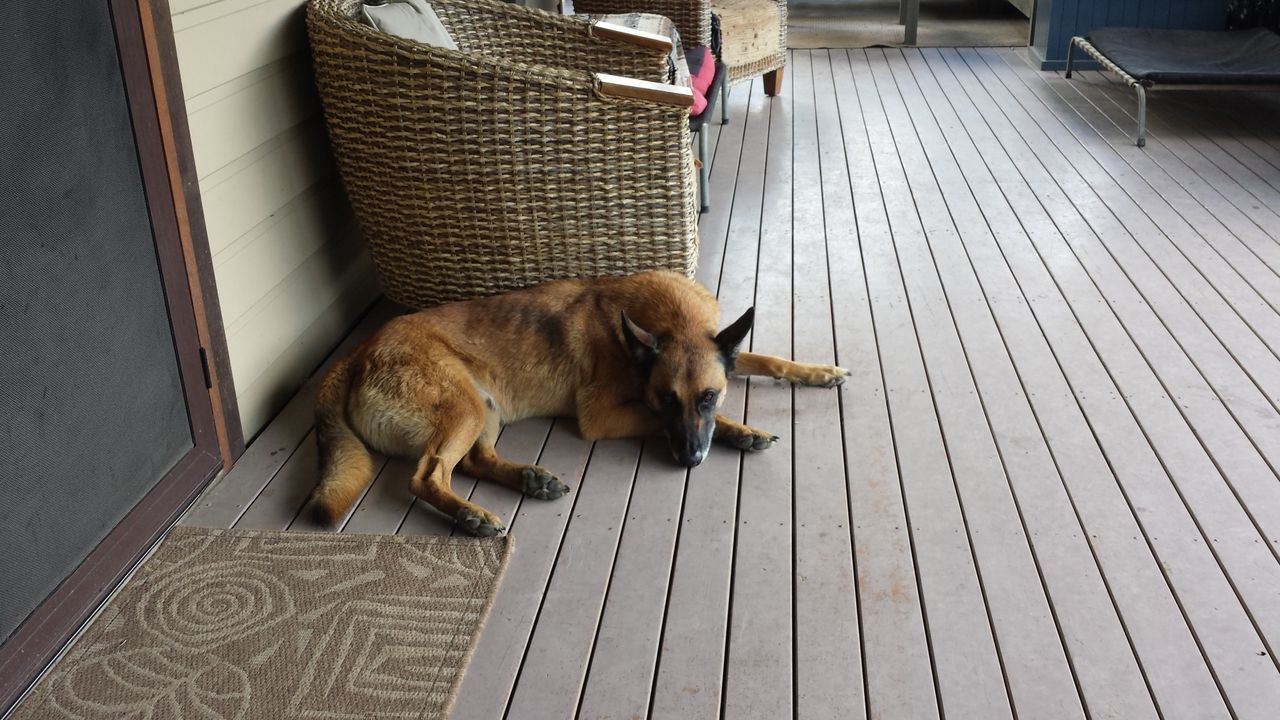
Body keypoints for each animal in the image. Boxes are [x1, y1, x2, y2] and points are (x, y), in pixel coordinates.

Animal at [308, 270, 849, 532]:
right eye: (666, 399)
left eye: (708, 396)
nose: (690, 460)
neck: (669, 322)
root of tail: (357, 352)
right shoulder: (602, 416)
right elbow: (655, 420)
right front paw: (738, 430)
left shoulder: (723, 353)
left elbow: (767, 359)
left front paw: (818, 372)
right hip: (464, 407)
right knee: (427, 475)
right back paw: (471, 516)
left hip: (485, 410)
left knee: (474, 461)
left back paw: (530, 479)